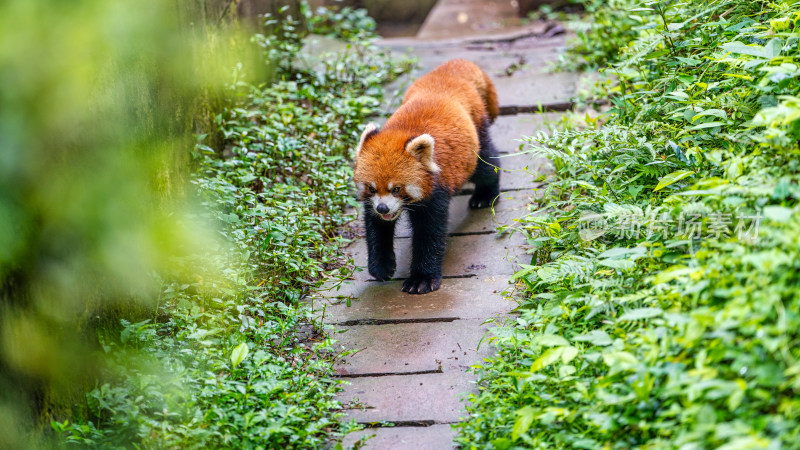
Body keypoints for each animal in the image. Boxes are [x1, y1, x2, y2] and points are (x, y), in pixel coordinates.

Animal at [354, 58, 500, 294]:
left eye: (397, 188)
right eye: (372, 188)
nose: (383, 208)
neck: (399, 132)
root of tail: (450, 72)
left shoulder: (436, 190)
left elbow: (429, 234)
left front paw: (421, 279)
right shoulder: (373, 204)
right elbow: (376, 228)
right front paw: (381, 267)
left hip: (475, 141)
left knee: (486, 165)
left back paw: (486, 194)